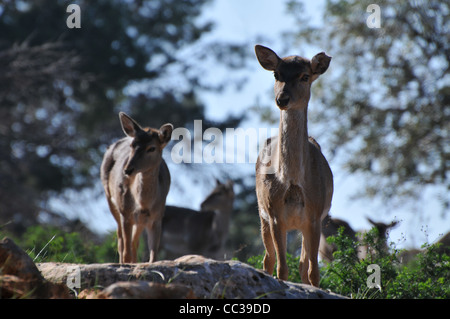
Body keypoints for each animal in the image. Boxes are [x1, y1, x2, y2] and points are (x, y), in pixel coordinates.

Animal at [101, 114, 173, 264]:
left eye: (152, 148)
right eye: (132, 145)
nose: (128, 169)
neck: (142, 204)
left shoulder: (157, 216)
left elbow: (154, 257)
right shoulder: (125, 212)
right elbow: (126, 251)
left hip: (140, 221)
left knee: (135, 242)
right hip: (110, 199)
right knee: (121, 241)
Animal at [253, 45, 334, 288]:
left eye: (305, 76)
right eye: (276, 74)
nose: (282, 98)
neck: (293, 181)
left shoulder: (315, 215)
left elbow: (313, 272)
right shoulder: (274, 212)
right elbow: (282, 268)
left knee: (303, 265)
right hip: (262, 215)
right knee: (268, 259)